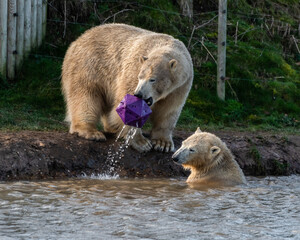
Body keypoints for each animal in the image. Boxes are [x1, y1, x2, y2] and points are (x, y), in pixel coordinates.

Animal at [62, 23, 193, 153]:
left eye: (152, 79)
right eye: (140, 77)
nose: (139, 94)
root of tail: (77, 40)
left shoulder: (180, 87)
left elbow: (168, 110)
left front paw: (163, 143)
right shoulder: (133, 71)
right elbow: (129, 106)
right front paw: (141, 142)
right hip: (89, 66)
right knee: (86, 96)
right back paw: (91, 132)